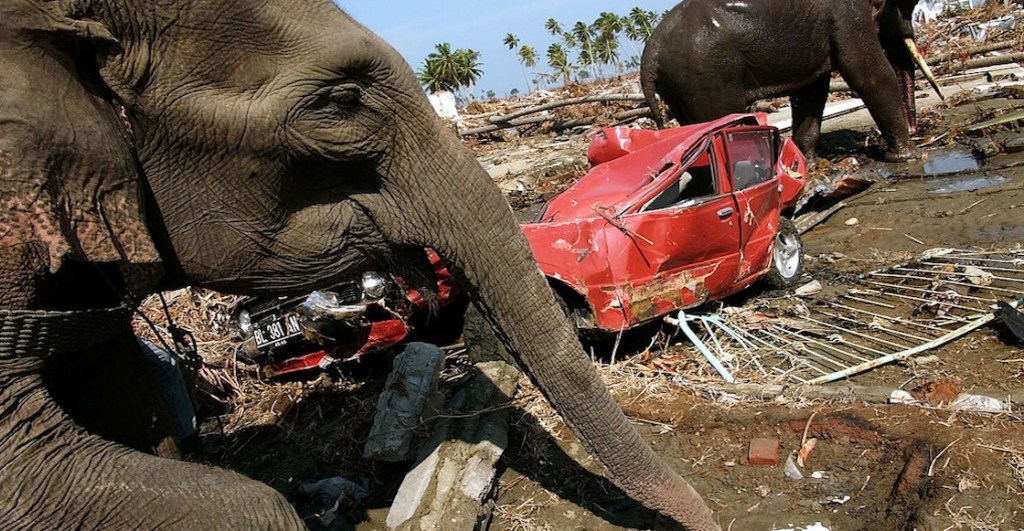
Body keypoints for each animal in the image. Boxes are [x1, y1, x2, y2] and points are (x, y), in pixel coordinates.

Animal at [638, 0, 942, 160]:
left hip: (681, 86)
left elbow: (812, 90)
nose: (917, 131)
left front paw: (811, 162)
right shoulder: (846, 14)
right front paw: (909, 156)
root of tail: (650, 53)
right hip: (705, 77)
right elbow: (870, 74)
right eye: (905, 5)